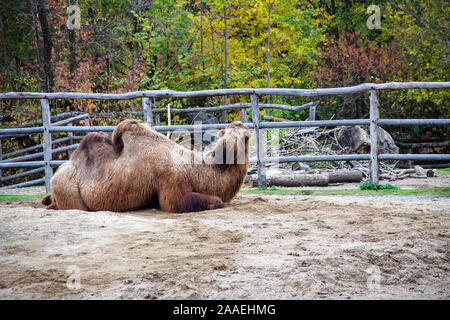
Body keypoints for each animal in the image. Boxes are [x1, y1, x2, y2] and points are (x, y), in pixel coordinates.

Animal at [42, 119, 251, 212]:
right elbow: (215, 200)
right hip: (69, 192)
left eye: (245, 137)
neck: (192, 169)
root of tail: (54, 177)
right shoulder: (171, 183)